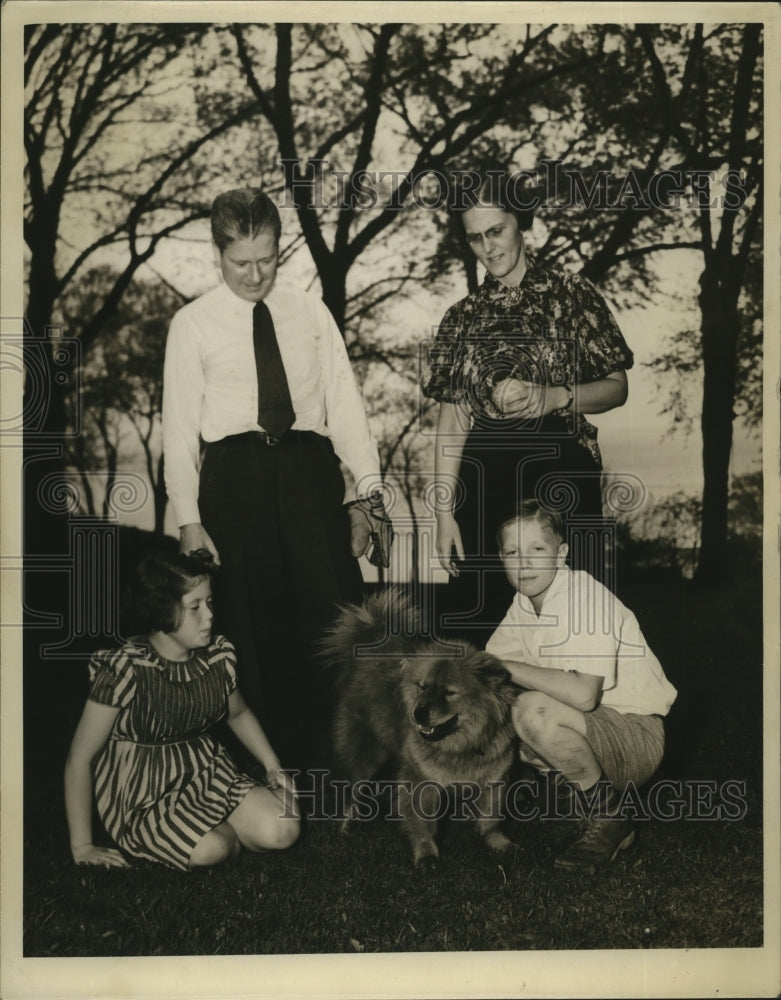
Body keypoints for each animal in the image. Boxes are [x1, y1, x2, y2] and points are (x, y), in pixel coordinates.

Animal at [320, 588, 520, 864]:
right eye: (422, 687)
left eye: (449, 692)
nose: (418, 713)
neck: (459, 747)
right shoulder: (421, 781)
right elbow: (422, 823)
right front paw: (426, 855)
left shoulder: (495, 778)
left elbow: (491, 818)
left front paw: (498, 842)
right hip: (364, 754)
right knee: (351, 790)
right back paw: (344, 828)